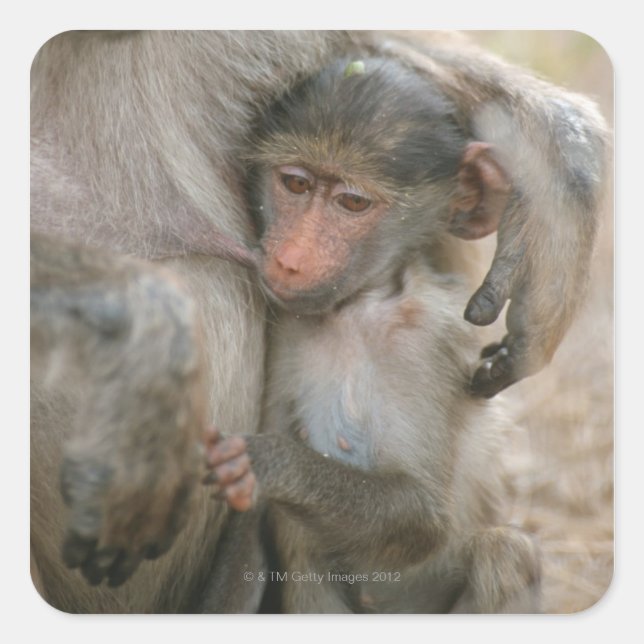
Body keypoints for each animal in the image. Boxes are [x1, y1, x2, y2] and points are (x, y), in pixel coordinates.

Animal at [30, 31, 607, 612]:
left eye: (352, 202)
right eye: (296, 184)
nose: (290, 258)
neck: (354, 313)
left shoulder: (425, 345)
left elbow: (423, 513)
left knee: (501, 553)